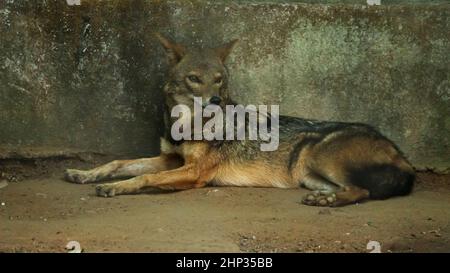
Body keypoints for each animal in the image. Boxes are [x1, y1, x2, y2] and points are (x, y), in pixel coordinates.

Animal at [64, 35, 414, 206]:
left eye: (219, 80)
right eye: (194, 79)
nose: (215, 100)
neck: (186, 125)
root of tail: (402, 154)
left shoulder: (195, 172)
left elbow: (145, 177)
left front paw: (114, 188)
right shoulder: (171, 159)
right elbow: (119, 163)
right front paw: (84, 174)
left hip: (318, 156)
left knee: (364, 191)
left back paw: (327, 202)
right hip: (308, 174)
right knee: (355, 189)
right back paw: (324, 199)